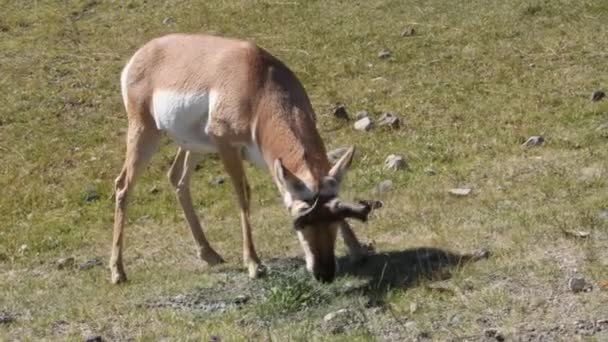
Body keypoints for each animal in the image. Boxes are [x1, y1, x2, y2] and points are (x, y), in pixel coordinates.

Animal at [111, 33, 372, 284]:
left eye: (335, 217)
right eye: (299, 222)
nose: (324, 273)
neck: (259, 83)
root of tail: (142, 53)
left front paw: (357, 250)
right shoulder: (228, 147)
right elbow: (243, 196)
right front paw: (254, 265)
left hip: (194, 146)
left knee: (177, 178)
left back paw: (209, 254)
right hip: (145, 133)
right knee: (123, 185)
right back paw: (118, 272)